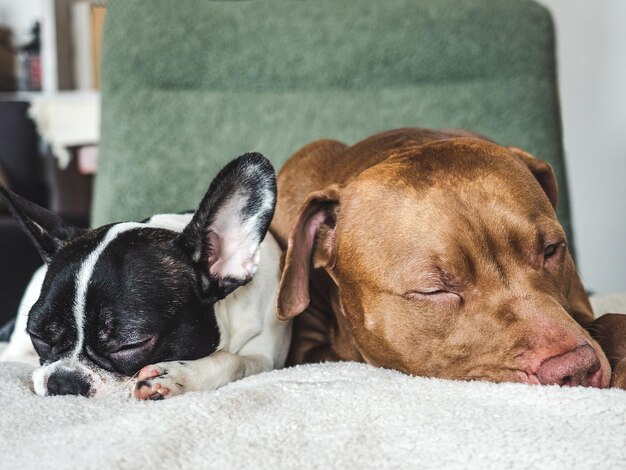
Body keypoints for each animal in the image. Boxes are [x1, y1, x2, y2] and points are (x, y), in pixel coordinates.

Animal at [0, 152, 288, 398]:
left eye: (130, 345)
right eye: (37, 336)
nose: (63, 382)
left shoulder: (267, 358)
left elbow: (235, 362)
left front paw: (180, 375)